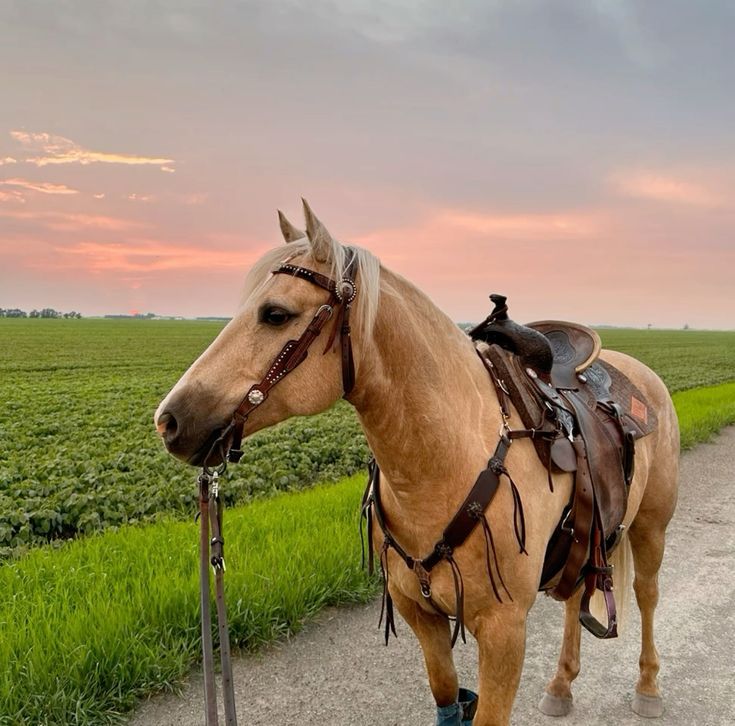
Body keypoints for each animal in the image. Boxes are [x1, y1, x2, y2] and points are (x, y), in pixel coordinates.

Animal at [155, 200, 680, 726]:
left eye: (275, 314)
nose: (170, 420)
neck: (444, 463)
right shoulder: (417, 611)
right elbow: (446, 691)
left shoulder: (505, 631)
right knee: (575, 599)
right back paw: (560, 685)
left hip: (650, 527)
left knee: (647, 594)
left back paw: (649, 686)